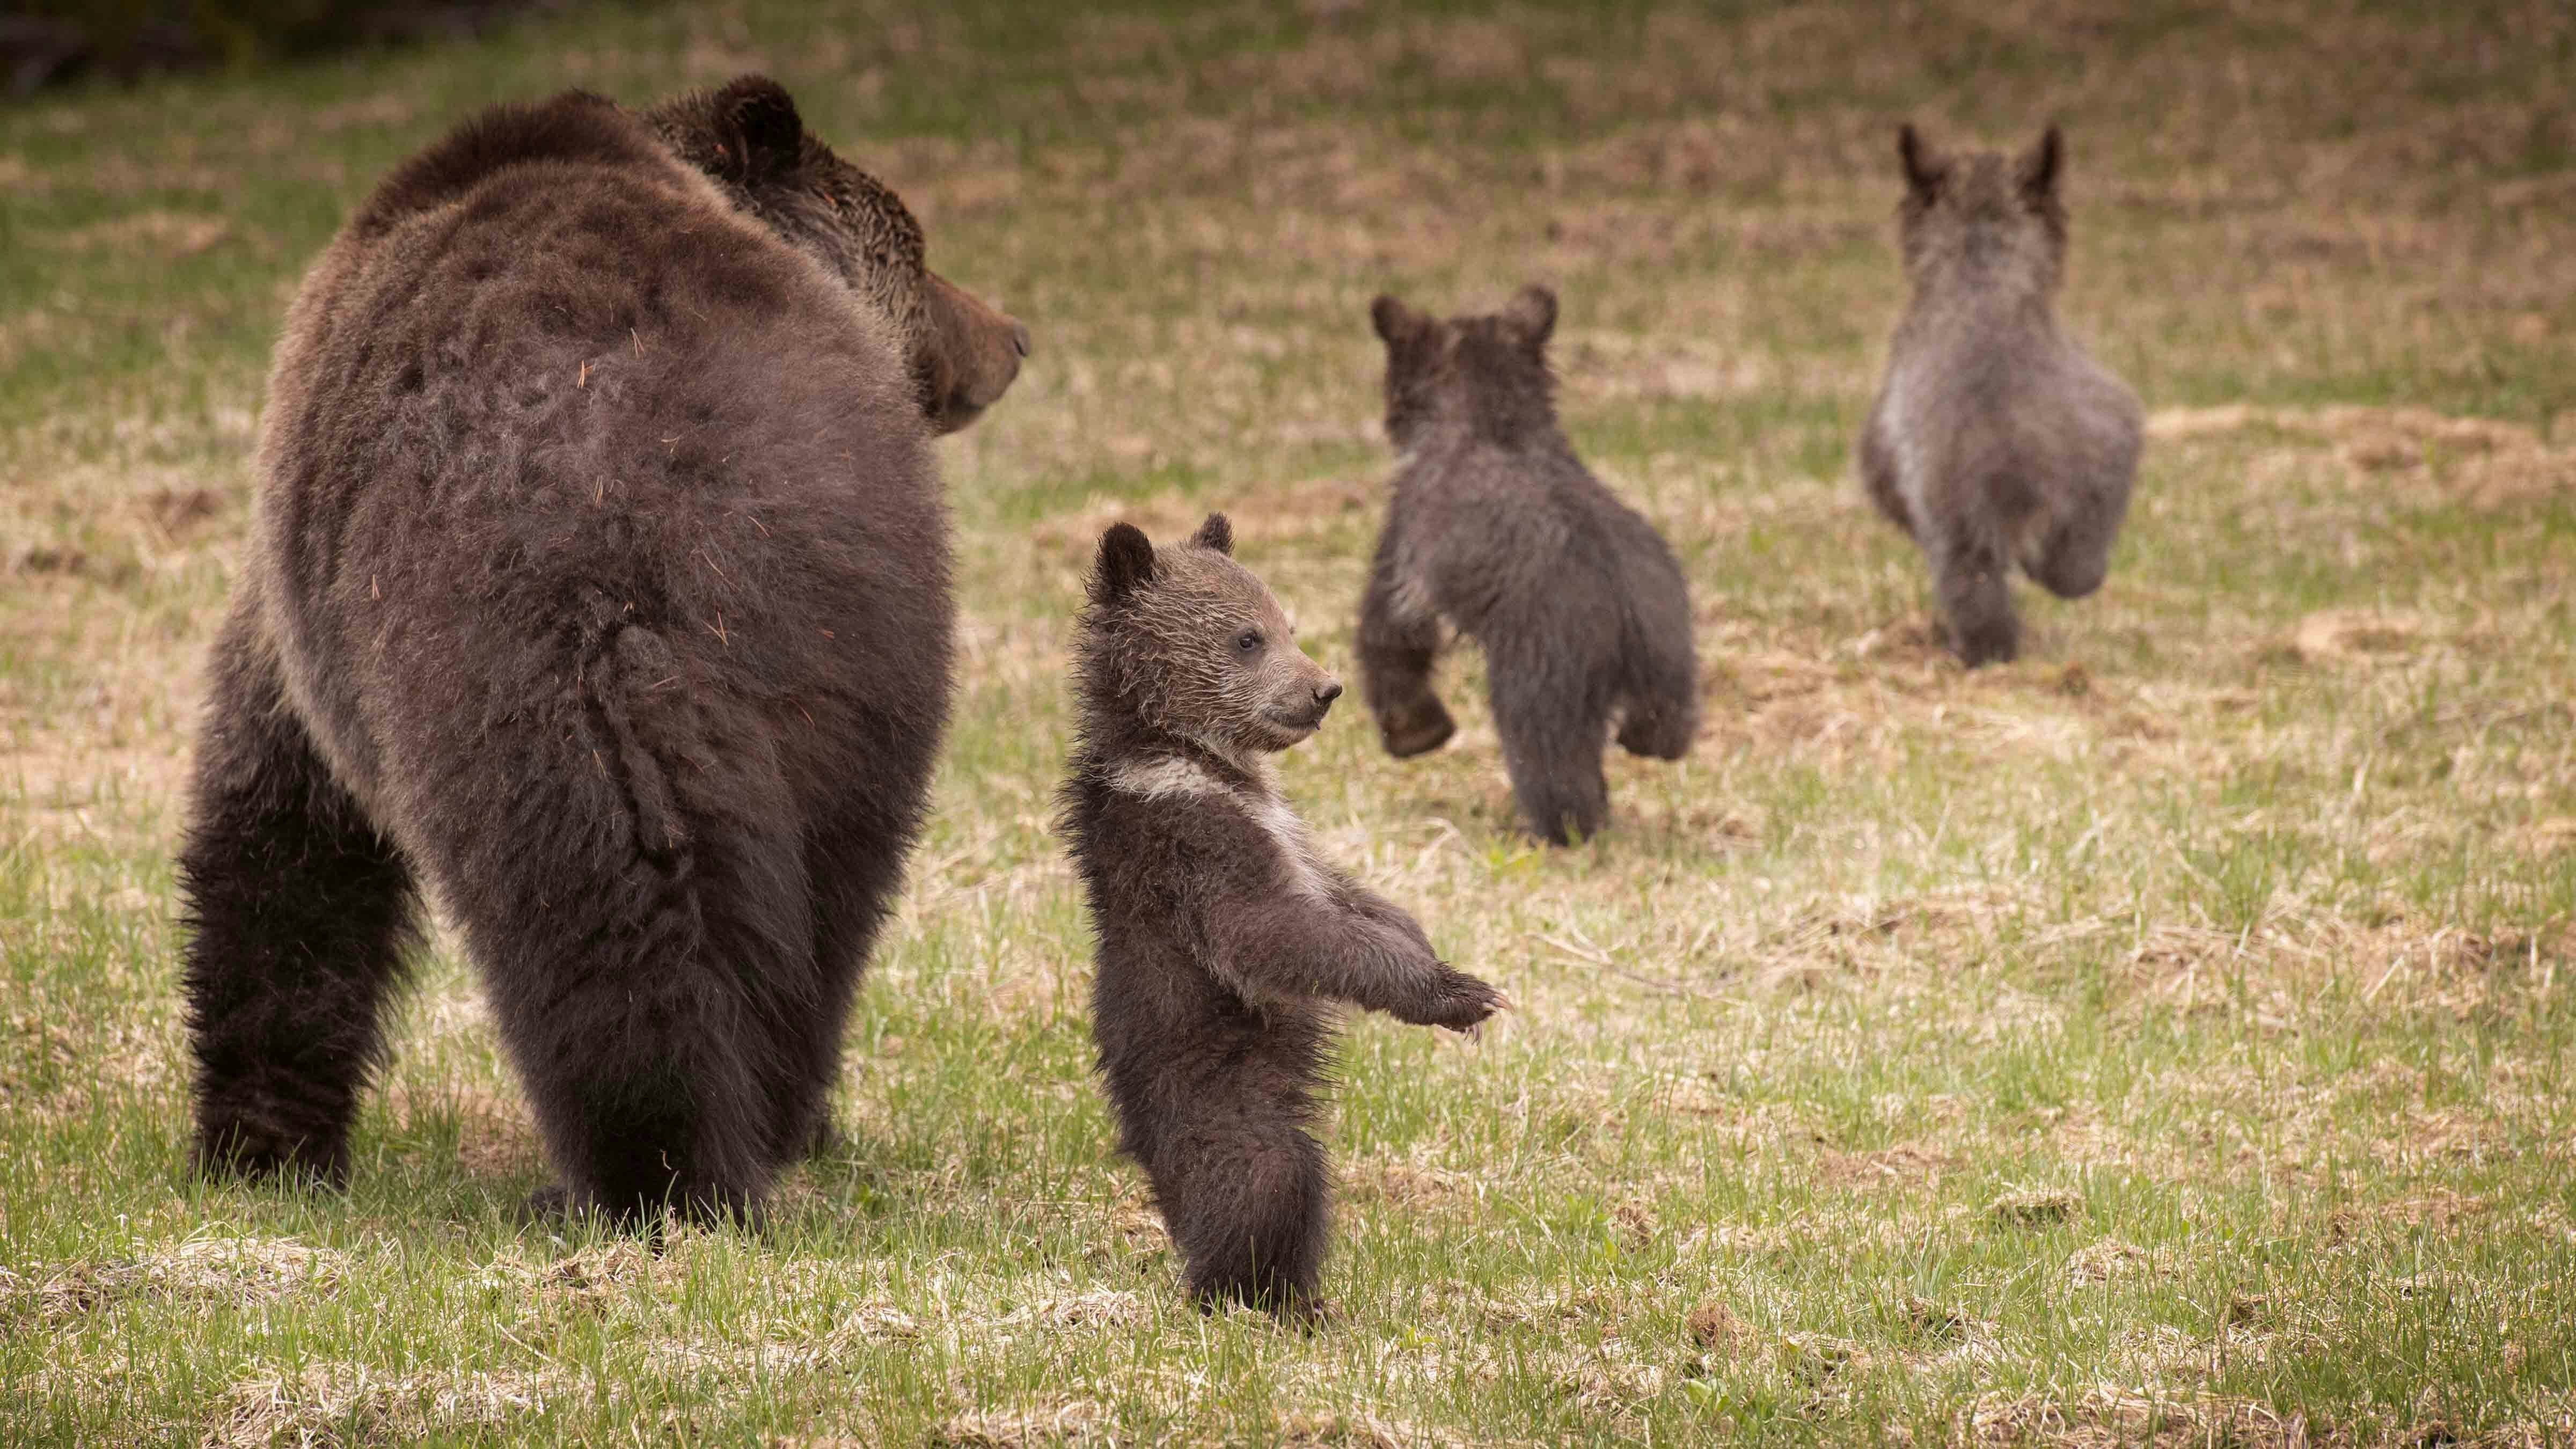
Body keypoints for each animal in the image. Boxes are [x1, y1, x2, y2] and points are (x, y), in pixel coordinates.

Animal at [177, 75, 1026, 1226]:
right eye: (921, 250)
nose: (1013, 336)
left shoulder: (308, 613)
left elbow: (283, 825)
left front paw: (262, 1141)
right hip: (855, 649)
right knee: (827, 904)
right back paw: (764, 1128)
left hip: (509, 671)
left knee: (589, 916)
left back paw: (651, 1166)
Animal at [1058, 514, 1506, 1320]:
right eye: (1248, 637)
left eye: (1286, 622)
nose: (1325, 689)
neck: (1199, 758)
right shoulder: (1192, 846)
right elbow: (1274, 932)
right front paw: (1456, 993)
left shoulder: (1286, 833)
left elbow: (1349, 898)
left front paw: (1432, 954)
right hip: (1219, 1092)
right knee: (1267, 1178)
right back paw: (1263, 1298)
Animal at [1359, 285, 1700, 846]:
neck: (1493, 420)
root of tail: (1626, 611)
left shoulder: (1404, 553)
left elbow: (1389, 639)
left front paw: (1414, 732)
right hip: (1673, 652)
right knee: (1665, 726)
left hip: (1540, 679)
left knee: (1552, 764)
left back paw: (1558, 831)